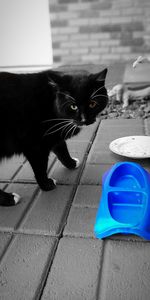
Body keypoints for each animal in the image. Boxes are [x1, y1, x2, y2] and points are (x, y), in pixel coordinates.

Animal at [0, 68, 108, 205]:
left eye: (92, 104)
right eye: (73, 106)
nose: (84, 119)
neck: (50, 101)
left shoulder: (54, 134)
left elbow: (62, 149)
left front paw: (71, 163)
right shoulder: (35, 146)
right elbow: (40, 168)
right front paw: (46, 185)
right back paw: (9, 198)